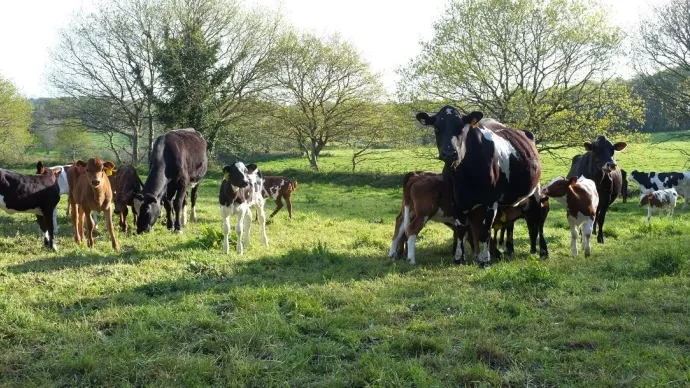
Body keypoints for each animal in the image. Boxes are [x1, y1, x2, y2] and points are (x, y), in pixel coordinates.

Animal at [414, 107, 544, 268]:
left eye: (461, 127)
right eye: (437, 128)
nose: (449, 153)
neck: (463, 176)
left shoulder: (490, 202)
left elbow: (485, 230)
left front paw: (484, 260)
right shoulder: (455, 201)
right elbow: (460, 229)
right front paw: (459, 258)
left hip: (536, 191)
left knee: (538, 221)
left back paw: (543, 252)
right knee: (511, 223)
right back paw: (510, 250)